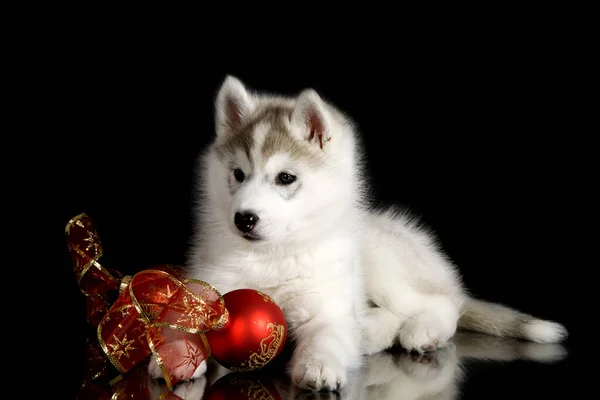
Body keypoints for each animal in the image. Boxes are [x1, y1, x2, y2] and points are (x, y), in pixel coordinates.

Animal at [150, 75, 568, 390]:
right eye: (237, 175)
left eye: (285, 178)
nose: (244, 219)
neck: (274, 256)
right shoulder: (211, 286)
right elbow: (182, 323)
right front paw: (174, 354)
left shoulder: (328, 305)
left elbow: (327, 335)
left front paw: (319, 365)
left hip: (382, 263)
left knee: (443, 304)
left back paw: (414, 331)